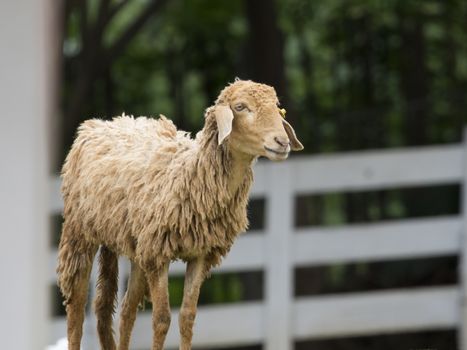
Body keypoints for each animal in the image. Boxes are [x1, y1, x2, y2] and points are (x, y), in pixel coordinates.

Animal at [57, 80, 304, 350]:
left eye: (277, 107)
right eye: (240, 107)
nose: (282, 141)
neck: (190, 176)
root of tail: (102, 122)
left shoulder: (200, 254)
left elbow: (187, 316)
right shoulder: (158, 255)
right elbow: (162, 319)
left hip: (134, 245)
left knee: (123, 309)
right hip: (79, 233)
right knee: (77, 307)